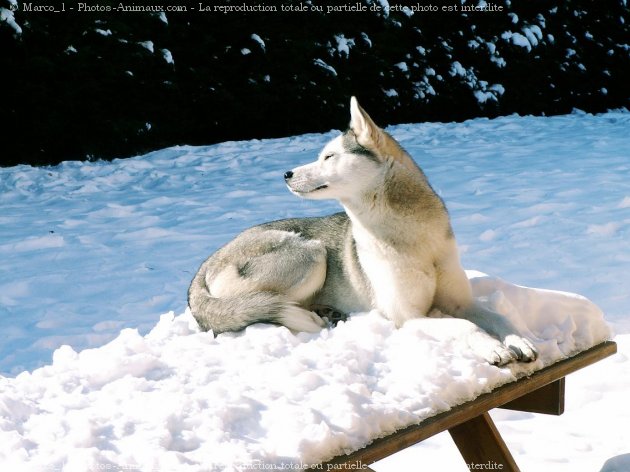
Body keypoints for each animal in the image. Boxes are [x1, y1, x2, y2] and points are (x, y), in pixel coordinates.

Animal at [188, 97, 540, 366]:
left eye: (329, 156)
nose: (286, 174)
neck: (414, 240)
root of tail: (203, 267)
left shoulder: (459, 302)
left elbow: (498, 316)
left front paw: (519, 339)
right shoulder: (409, 316)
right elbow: (465, 327)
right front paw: (492, 347)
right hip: (311, 253)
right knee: (260, 305)